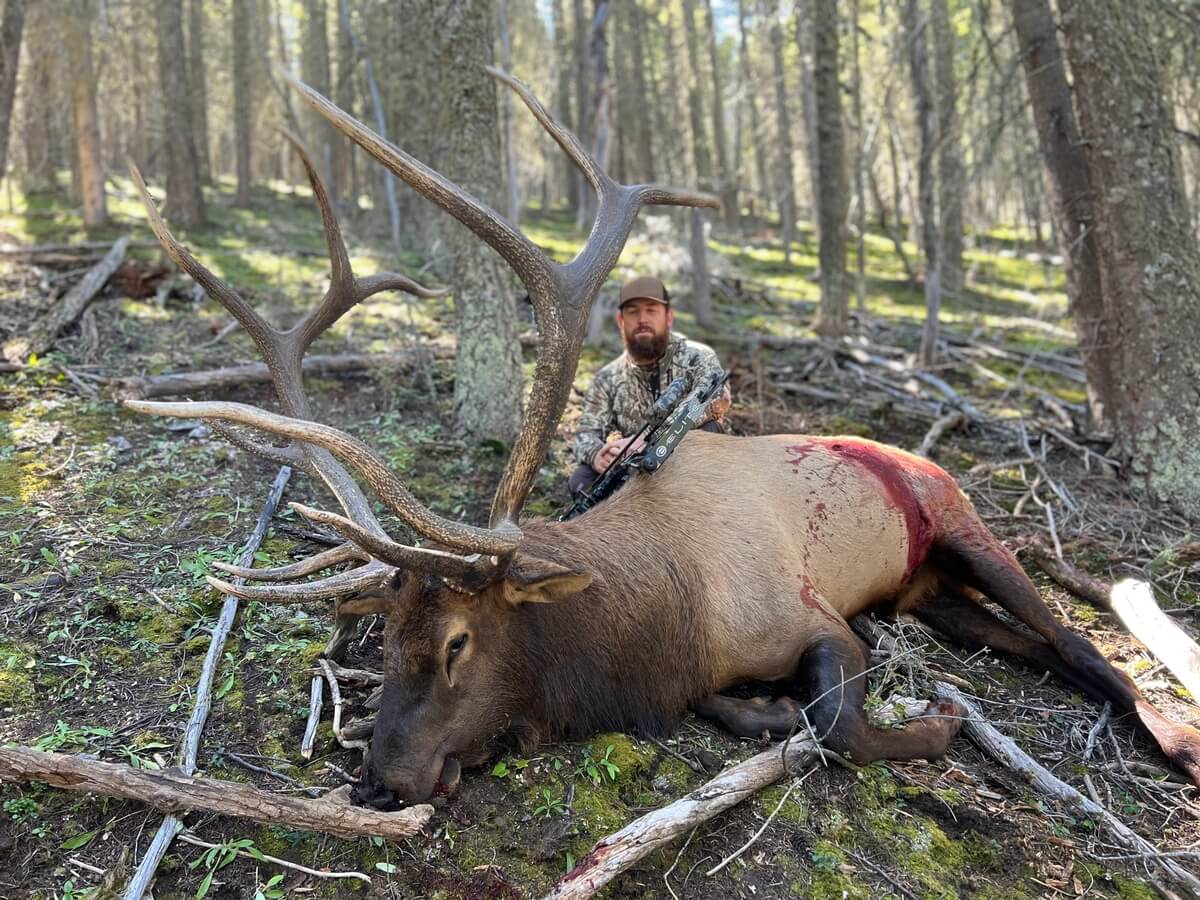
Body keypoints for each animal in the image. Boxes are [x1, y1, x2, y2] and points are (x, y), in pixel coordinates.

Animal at [125, 70, 1200, 808]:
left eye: (461, 641)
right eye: (385, 638)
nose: (381, 781)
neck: (660, 629)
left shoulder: (819, 617)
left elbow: (838, 725)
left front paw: (930, 723)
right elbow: (750, 707)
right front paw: (757, 708)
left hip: (962, 521)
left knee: (1074, 637)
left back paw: (1173, 738)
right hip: (930, 593)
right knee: (1024, 641)